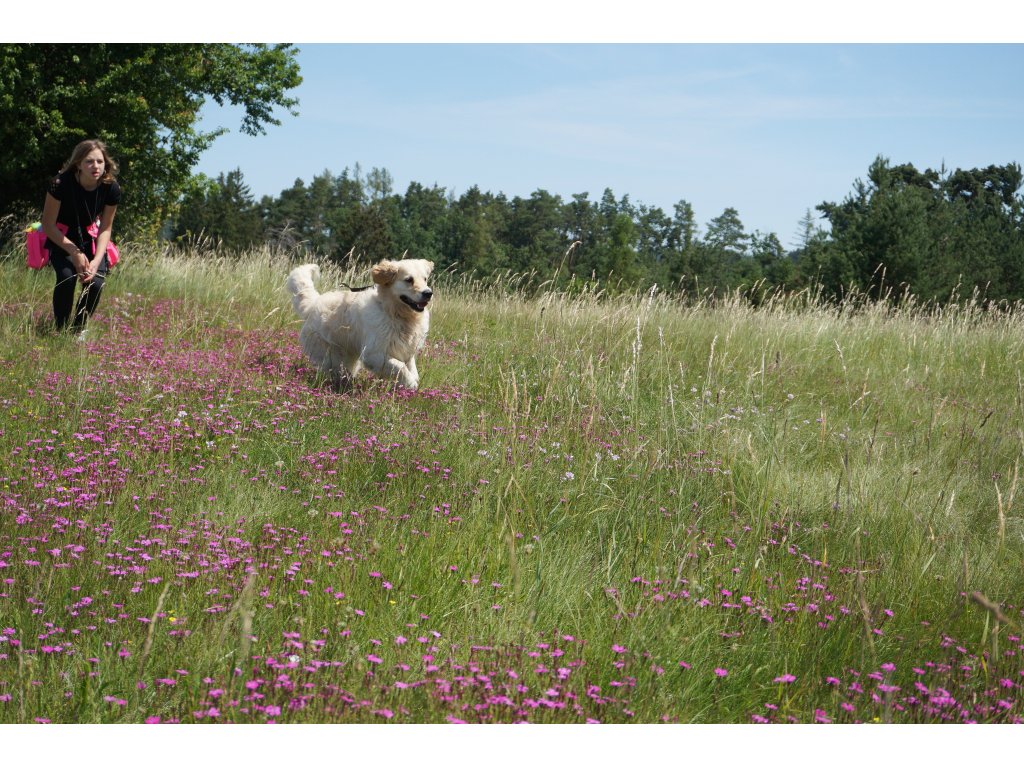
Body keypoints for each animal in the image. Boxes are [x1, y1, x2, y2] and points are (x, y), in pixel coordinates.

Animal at [286, 259, 434, 391]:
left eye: (425, 279)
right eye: (409, 280)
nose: (428, 293)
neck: (396, 314)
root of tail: (314, 303)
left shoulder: (406, 350)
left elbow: (410, 367)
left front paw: (407, 384)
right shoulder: (373, 354)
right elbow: (400, 366)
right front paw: (411, 383)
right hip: (331, 356)